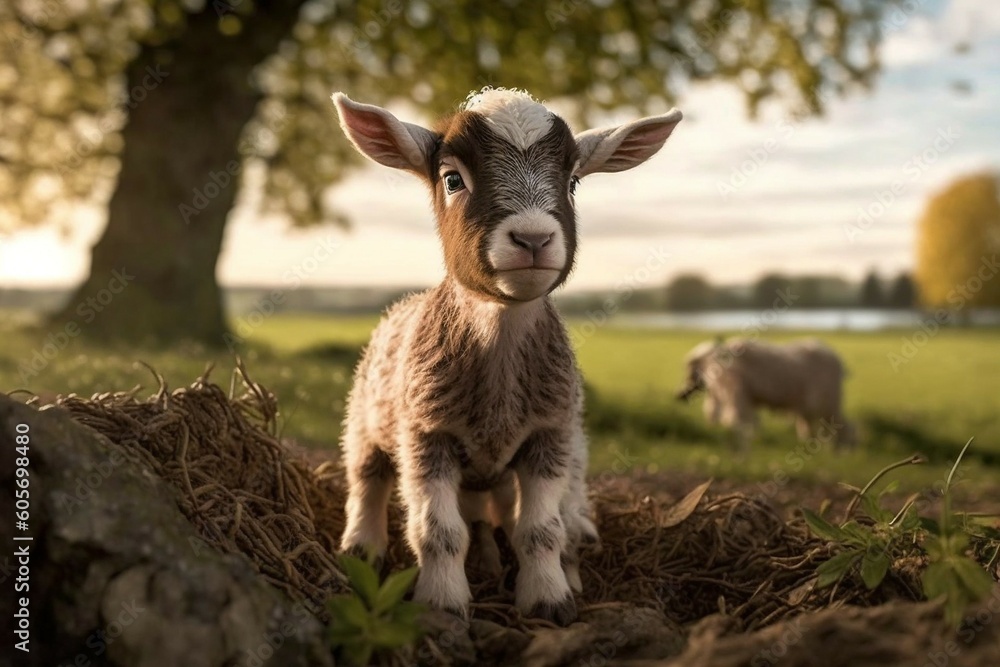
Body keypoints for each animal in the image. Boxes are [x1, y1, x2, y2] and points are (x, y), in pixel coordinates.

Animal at [333, 88, 682, 625]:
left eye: (573, 182)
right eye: (452, 179)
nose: (533, 239)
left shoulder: (549, 435)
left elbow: (540, 530)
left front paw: (549, 599)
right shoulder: (424, 434)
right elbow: (438, 531)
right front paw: (441, 603)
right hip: (366, 417)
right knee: (366, 478)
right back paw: (362, 549)